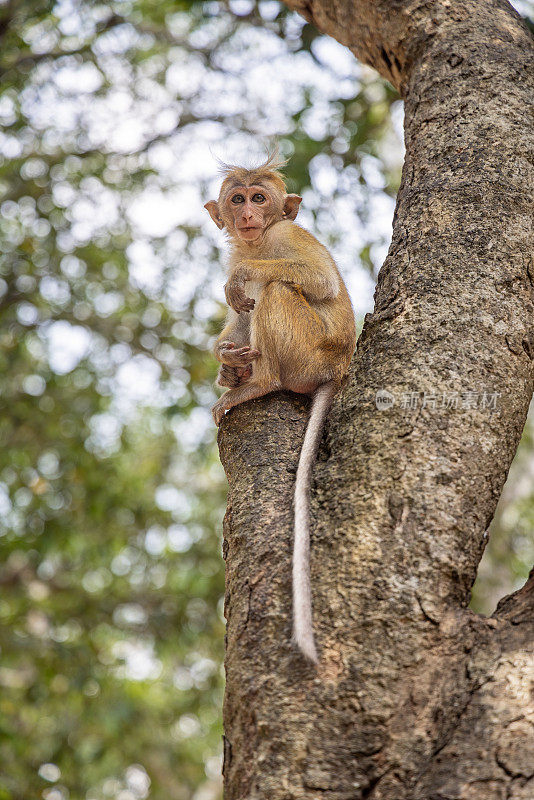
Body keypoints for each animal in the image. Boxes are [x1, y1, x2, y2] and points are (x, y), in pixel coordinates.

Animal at [204, 150, 356, 664]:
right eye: (237, 199)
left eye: (260, 198)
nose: (248, 215)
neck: (257, 242)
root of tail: (338, 367)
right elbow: (236, 318)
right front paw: (224, 360)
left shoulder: (282, 237)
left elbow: (317, 278)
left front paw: (238, 280)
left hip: (307, 351)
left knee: (275, 290)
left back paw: (256, 385)